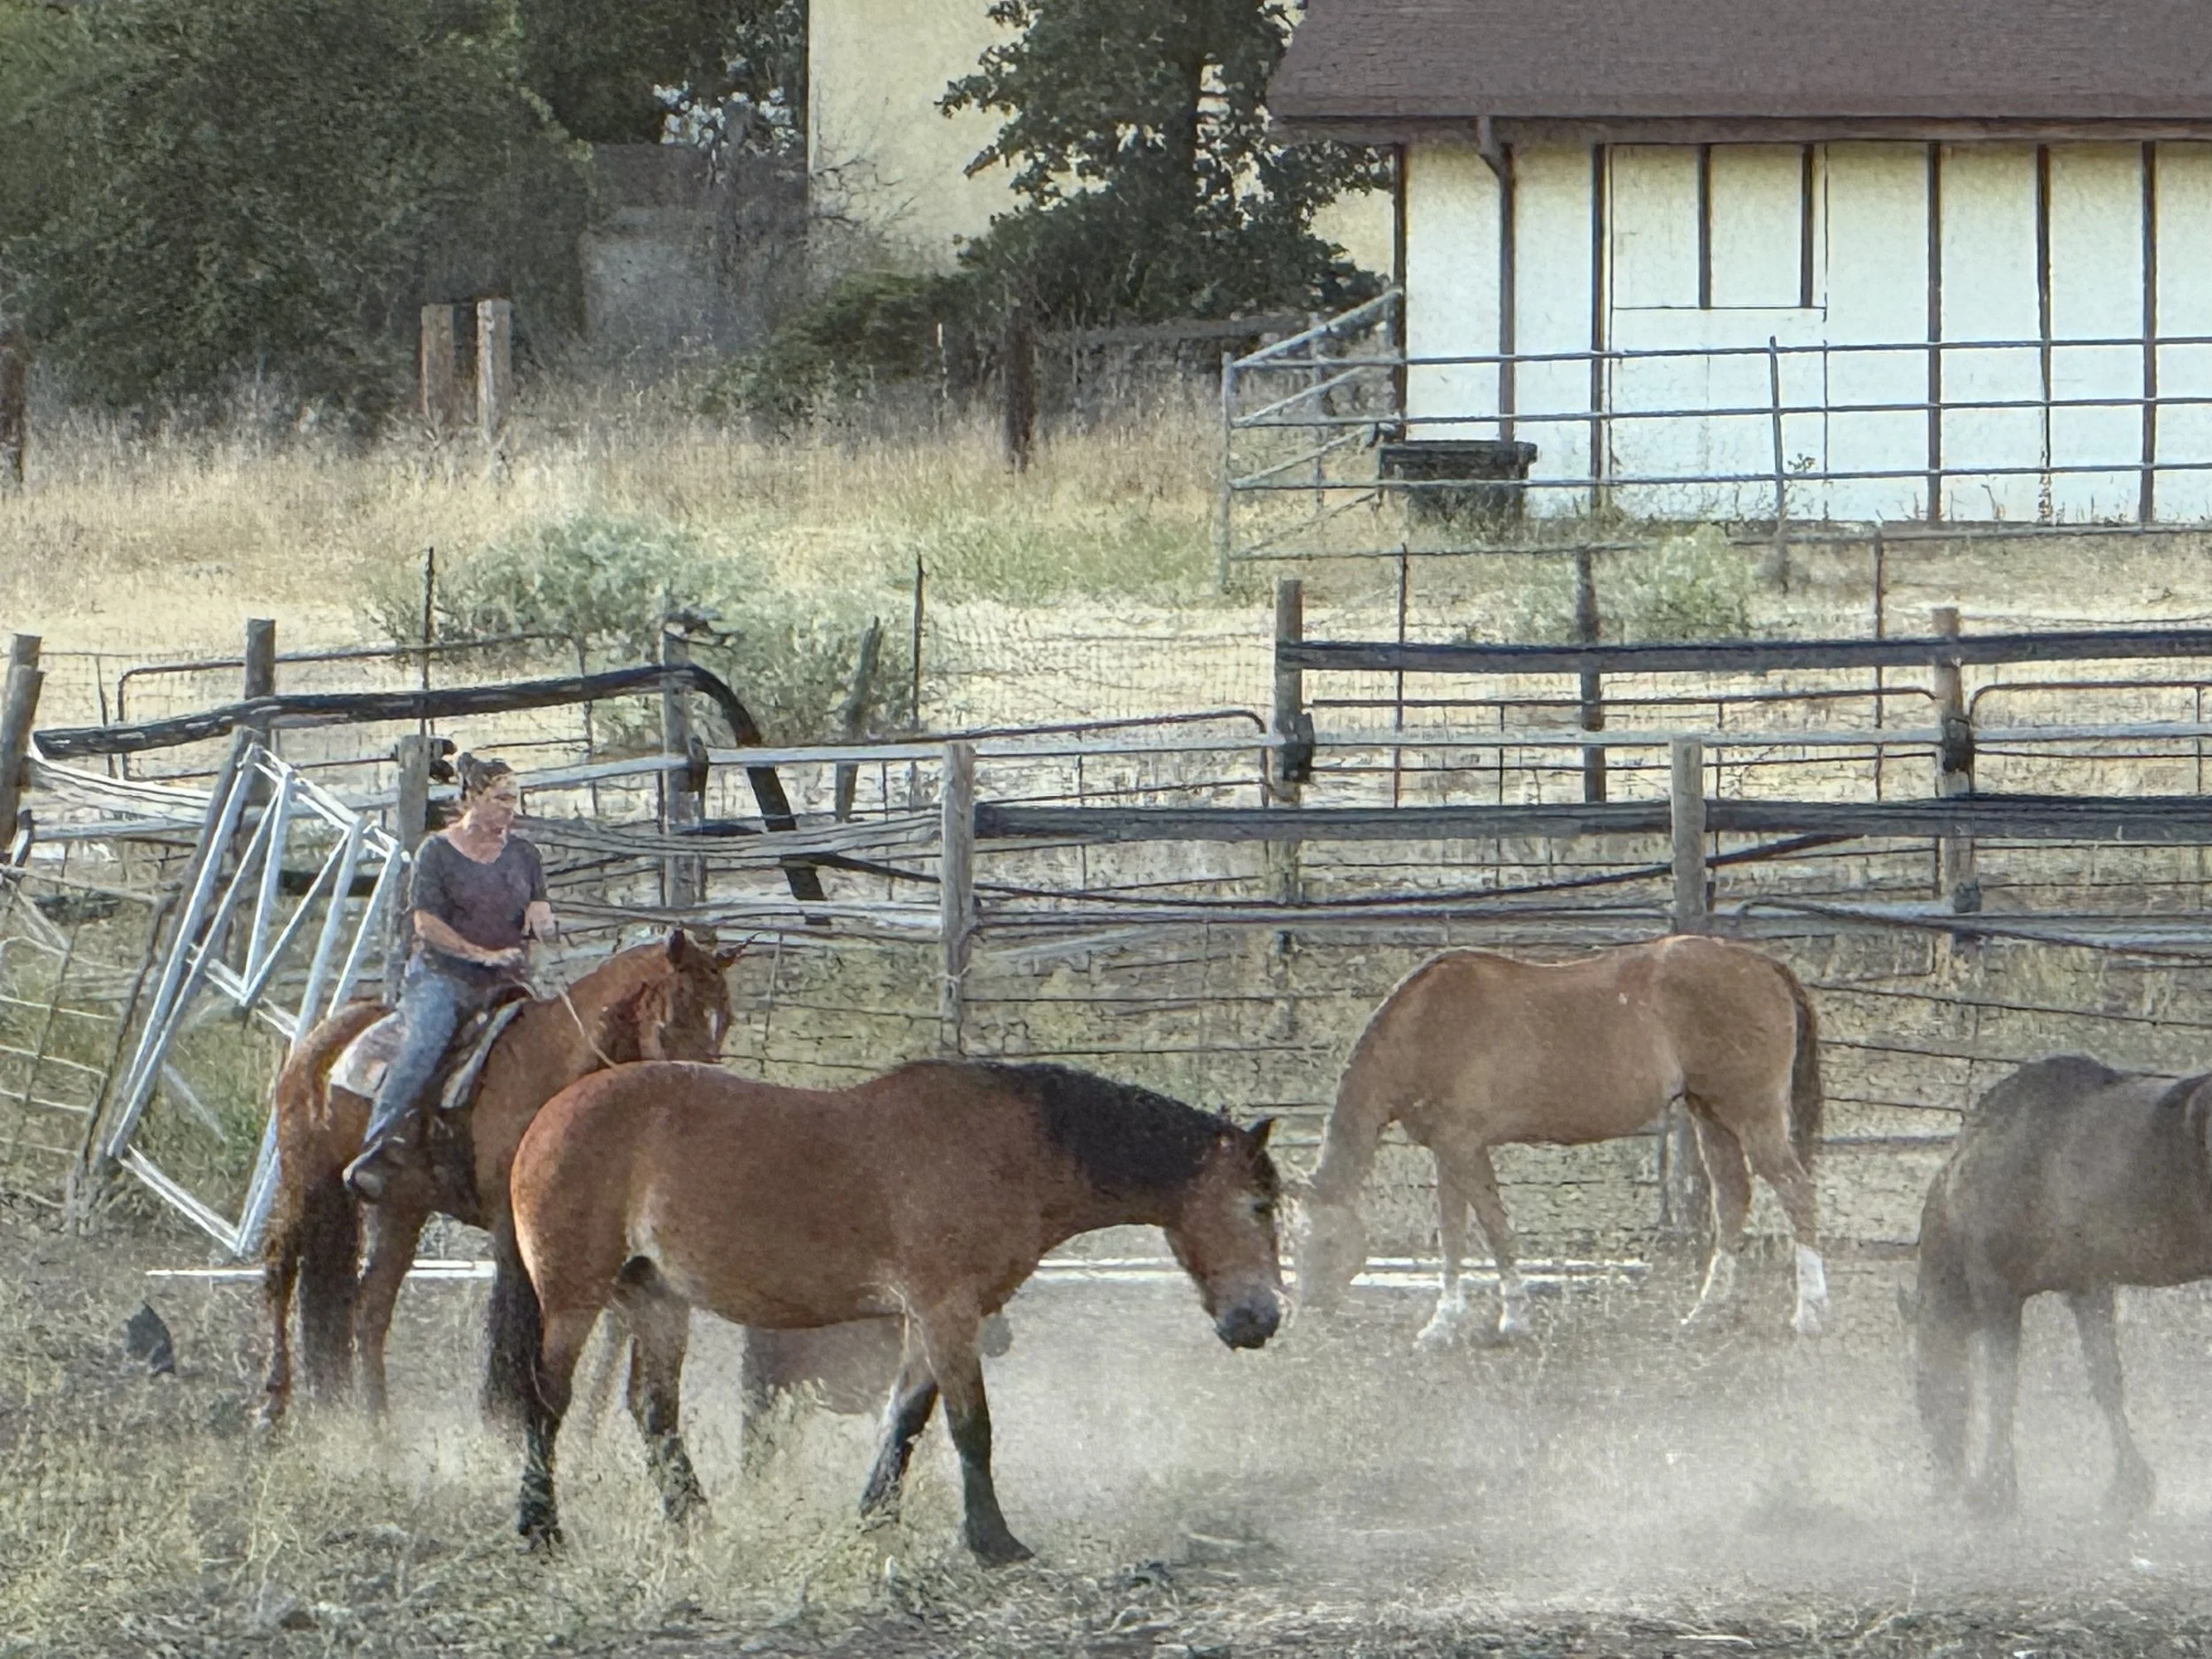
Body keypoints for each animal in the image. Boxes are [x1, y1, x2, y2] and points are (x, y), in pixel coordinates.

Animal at [258, 928, 737, 1425]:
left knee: (370, 1306)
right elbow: (512, 1322)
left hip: (399, 1207)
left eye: (725, 1019)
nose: (703, 1092)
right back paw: (273, 1402)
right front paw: (503, 1417)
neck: (554, 1069)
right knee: (280, 1267)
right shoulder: (513, 1230)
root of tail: (318, 1044)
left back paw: (378, 1424)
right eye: (676, 1012)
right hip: (307, 1180)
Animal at [492, 1058, 1283, 1564]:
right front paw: (993, 1543)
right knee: (549, 1401)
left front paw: (874, 1519)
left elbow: (905, 1418)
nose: (1263, 1319)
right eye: (1258, 1204)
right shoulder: (947, 1311)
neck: (1012, 1148)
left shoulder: (930, 1320)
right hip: (573, 1297)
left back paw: (696, 1522)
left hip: (657, 1298)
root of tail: (547, 1120)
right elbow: (971, 1426)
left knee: (652, 1407)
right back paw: (540, 1528)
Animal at [1293, 935, 1826, 1344]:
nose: (1308, 1307)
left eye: (1320, 1240)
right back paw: (1709, 1312)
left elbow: (1467, 1232)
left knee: (1797, 1193)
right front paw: (1500, 1317)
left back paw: (1810, 1314)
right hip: (1711, 1114)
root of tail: (1762, 964)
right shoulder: (1461, 1152)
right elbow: (1482, 1230)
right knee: (1733, 1197)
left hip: (1752, 1115)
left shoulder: (1457, 1147)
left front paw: (1456, 1323)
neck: (1427, 1025)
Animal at [1913, 1054, 2212, 1517]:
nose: (1942, 1488)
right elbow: (2106, 1379)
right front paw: (2129, 1487)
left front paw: (1994, 1490)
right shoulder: (2088, 1287)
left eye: (1920, 1390)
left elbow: (2001, 1384)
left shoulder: (1996, 1289)